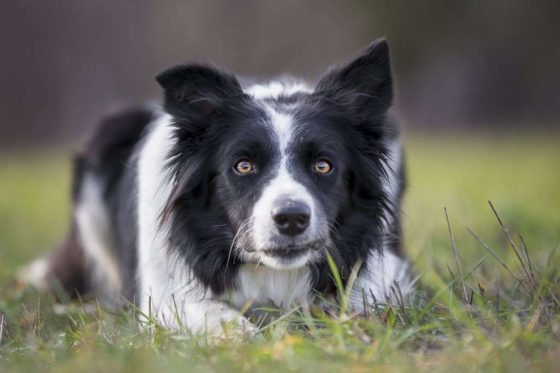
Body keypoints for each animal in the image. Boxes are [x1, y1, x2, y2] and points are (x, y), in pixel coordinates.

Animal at [24, 38, 412, 338]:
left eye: (323, 165)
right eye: (243, 165)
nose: (291, 219)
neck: (271, 274)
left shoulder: (384, 275)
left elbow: (360, 306)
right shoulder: (162, 295)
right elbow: (215, 316)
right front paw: (248, 340)